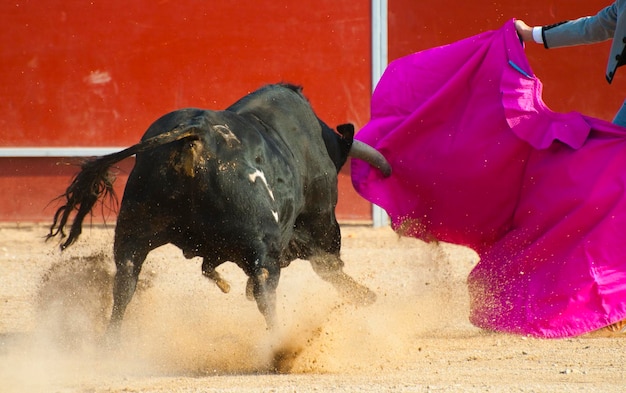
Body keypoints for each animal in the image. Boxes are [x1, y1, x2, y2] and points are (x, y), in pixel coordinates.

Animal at [46, 83, 390, 336]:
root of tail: (196, 135)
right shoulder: (320, 217)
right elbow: (328, 264)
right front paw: (367, 297)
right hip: (260, 243)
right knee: (266, 288)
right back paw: (279, 347)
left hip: (134, 229)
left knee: (125, 283)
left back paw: (112, 345)